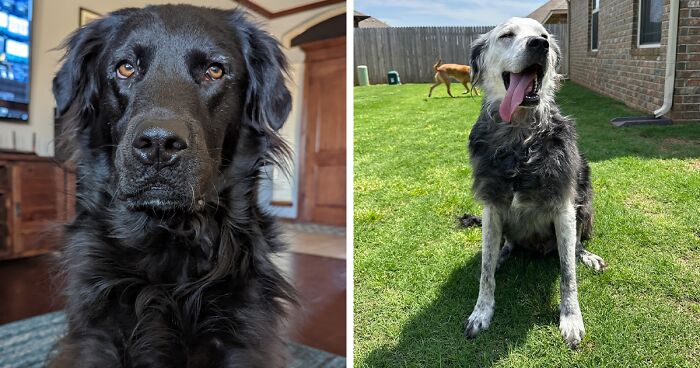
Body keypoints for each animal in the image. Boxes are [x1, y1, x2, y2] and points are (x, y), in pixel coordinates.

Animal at [462, 18, 604, 348]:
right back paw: (502, 254)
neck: (521, 137)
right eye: (506, 35)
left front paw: (571, 318)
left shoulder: (564, 207)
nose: (540, 45)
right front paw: (481, 312)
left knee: (575, 246)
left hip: (584, 204)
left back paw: (586, 256)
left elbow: (568, 274)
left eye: (543, 35)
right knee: (505, 245)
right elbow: (485, 271)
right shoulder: (491, 205)